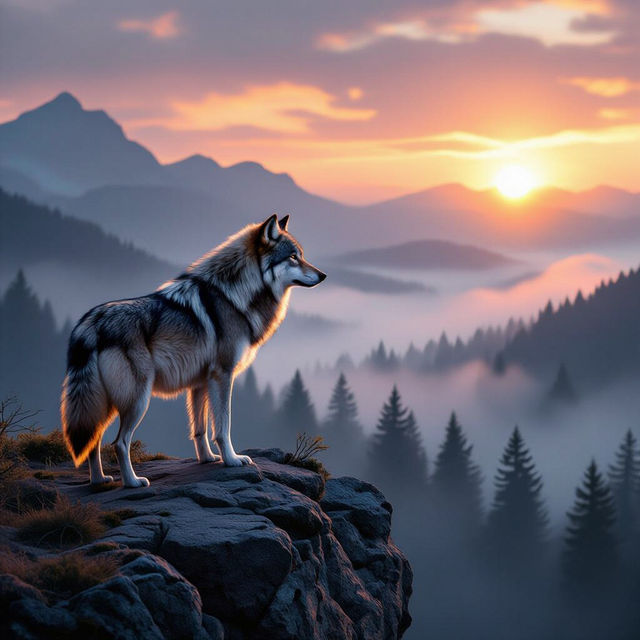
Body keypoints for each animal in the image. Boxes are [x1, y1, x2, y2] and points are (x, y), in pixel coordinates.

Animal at [61, 214, 325, 487]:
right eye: (293, 257)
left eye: (301, 255)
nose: (323, 275)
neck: (233, 295)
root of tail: (90, 323)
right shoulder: (223, 374)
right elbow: (223, 426)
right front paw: (232, 459)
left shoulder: (200, 383)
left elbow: (200, 429)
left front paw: (207, 459)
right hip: (137, 400)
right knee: (119, 443)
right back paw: (133, 482)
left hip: (103, 404)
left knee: (93, 442)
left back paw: (99, 480)